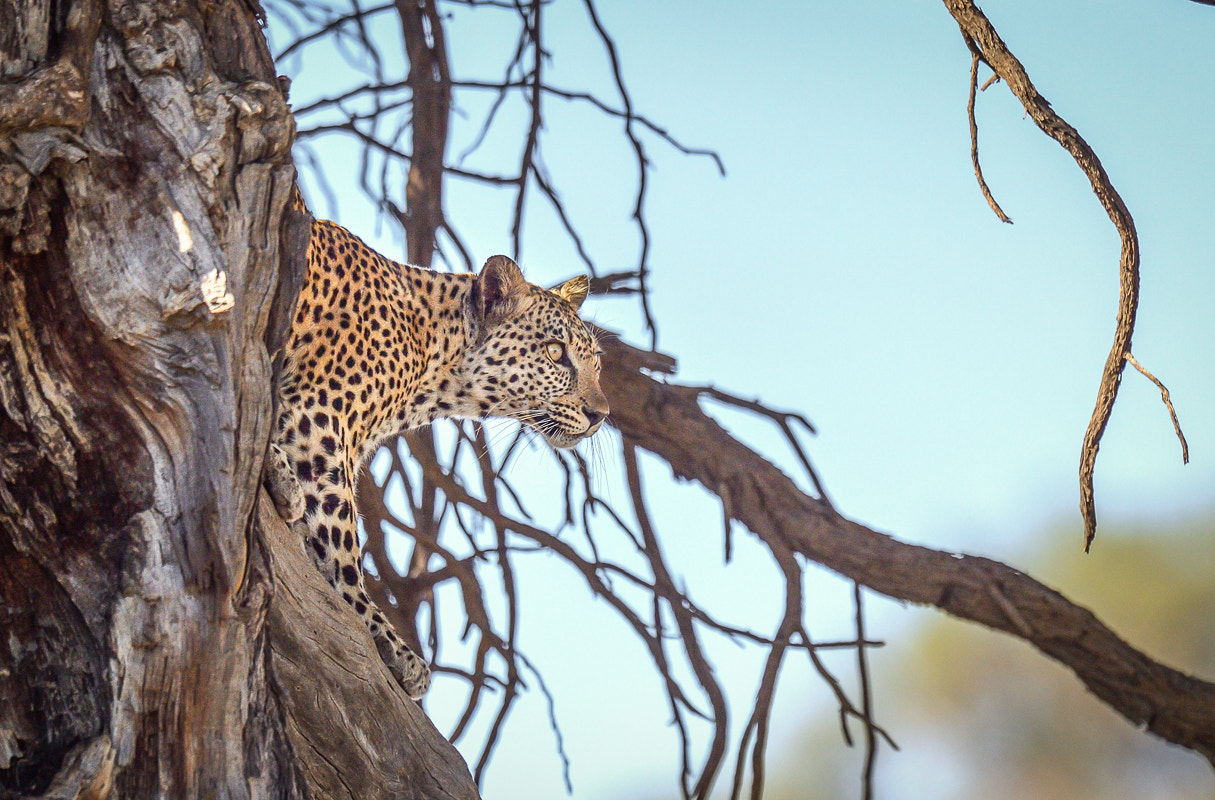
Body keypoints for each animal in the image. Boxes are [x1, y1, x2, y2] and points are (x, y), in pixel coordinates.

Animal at [268, 205, 605, 700]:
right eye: (555, 352)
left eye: (595, 362)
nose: (600, 414)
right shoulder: (318, 420)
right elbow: (343, 547)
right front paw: (389, 642)